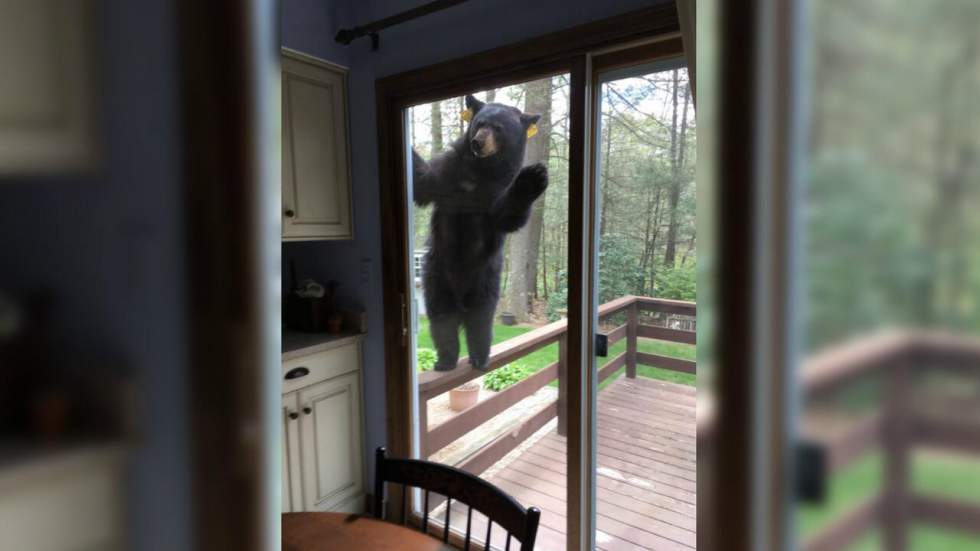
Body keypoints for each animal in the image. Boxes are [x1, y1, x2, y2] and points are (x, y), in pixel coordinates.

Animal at [414, 95, 552, 374]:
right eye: (479, 123)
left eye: (498, 128)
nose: (477, 141)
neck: (481, 171)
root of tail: (460, 297)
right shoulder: (448, 173)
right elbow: (424, 181)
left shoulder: (496, 191)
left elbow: (506, 215)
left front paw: (533, 177)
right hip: (436, 275)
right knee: (441, 319)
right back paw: (445, 360)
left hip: (486, 279)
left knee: (481, 321)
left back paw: (479, 357)